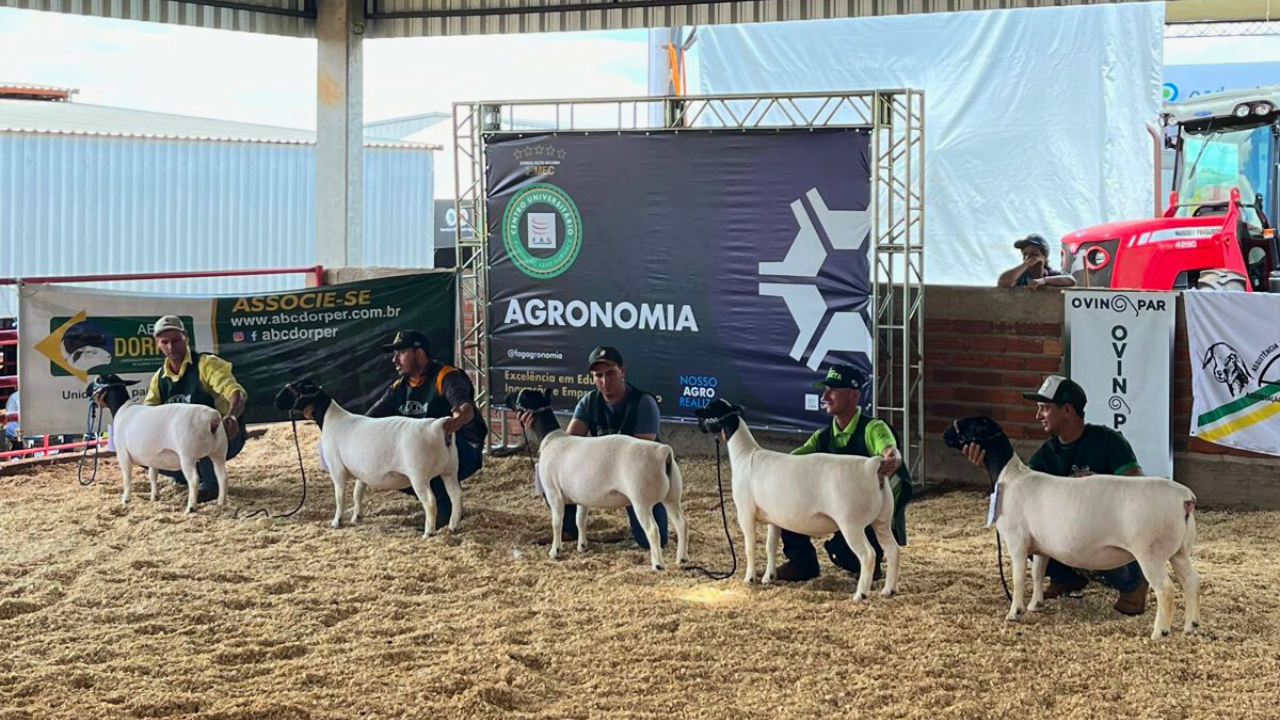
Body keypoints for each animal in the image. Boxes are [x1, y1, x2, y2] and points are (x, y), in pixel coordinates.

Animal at [88, 371, 229, 512]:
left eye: (99, 379)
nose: (87, 391)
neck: (122, 409)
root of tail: (212, 418)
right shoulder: (152, 457)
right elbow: (152, 475)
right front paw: (154, 496)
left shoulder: (123, 453)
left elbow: (127, 477)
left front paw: (125, 499)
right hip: (219, 451)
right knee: (222, 477)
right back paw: (221, 503)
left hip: (187, 455)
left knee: (194, 480)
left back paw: (190, 508)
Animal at [275, 379, 460, 535]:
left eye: (299, 386)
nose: (276, 400)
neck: (330, 418)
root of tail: (438, 425)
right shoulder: (361, 471)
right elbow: (357, 493)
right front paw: (356, 518)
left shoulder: (337, 468)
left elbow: (339, 496)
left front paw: (337, 522)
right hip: (450, 470)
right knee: (456, 496)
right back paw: (452, 527)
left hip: (418, 474)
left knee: (430, 501)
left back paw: (429, 532)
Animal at [509, 386, 691, 566]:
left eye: (524, 395)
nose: (507, 397)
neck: (552, 438)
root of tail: (663, 452)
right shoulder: (582, 495)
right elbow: (580, 520)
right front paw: (582, 546)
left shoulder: (553, 492)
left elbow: (556, 522)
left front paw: (555, 551)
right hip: (672, 496)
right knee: (681, 523)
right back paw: (682, 559)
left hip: (641, 500)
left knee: (653, 530)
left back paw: (658, 564)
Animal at [696, 397, 896, 594]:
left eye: (711, 406)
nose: (696, 412)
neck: (746, 455)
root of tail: (872, 465)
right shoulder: (774, 518)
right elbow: (770, 546)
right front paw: (769, 577)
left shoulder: (745, 513)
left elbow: (749, 547)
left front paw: (750, 579)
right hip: (882, 520)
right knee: (892, 549)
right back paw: (888, 590)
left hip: (851, 523)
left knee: (868, 554)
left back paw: (860, 594)